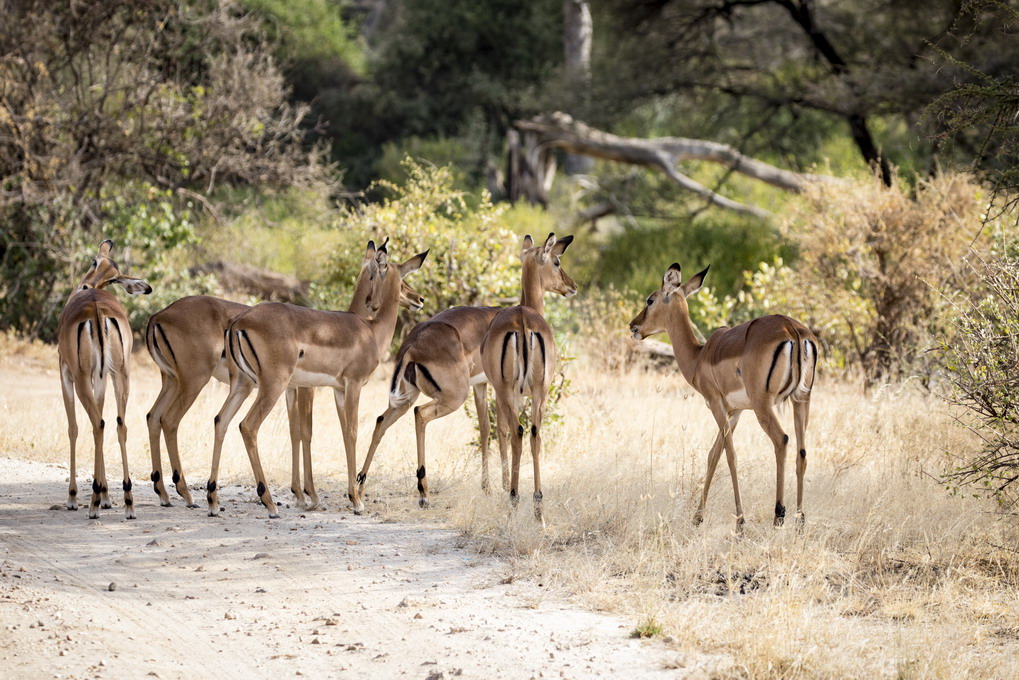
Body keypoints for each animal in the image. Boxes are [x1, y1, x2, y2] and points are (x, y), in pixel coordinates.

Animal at [57, 240, 152, 519]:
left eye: (112, 278)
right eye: (96, 263)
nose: (87, 286)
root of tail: (98, 310)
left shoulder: (65, 373)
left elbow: (74, 428)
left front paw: (75, 497)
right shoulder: (100, 378)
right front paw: (107, 495)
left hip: (81, 379)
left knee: (96, 424)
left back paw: (91, 504)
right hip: (122, 375)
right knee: (119, 425)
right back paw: (128, 501)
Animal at [144, 241, 423, 510]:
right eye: (403, 279)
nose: (418, 298)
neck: (368, 330)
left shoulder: (328, 389)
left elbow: (311, 432)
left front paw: (304, 495)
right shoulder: (342, 385)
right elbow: (338, 432)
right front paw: (347, 499)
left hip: (215, 383)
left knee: (192, 418)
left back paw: (201, 498)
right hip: (233, 383)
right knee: (229, 424)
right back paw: (256, 501)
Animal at [480, 233, 577, 521]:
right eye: (557, 262)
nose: (572, 285)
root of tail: (522, 319)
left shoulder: (507, 392)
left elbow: (501, 430)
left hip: (512, 391)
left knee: (519, 432)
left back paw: (517, 502)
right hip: (536, 390)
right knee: (533, 433)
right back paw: (535, 507)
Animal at [629, 263, 818, 528]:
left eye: (650, 299)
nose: (633, 325)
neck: (699, 356)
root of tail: (792, 330)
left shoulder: (716, 404)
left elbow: (729, 455)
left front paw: (739, 522)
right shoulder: (735, 411)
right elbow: (713, 454)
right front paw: (698, 517)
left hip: (763, 406)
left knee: (781, 440)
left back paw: (778, 515)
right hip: (801, 400)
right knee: (802, 452)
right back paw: (800, 521)